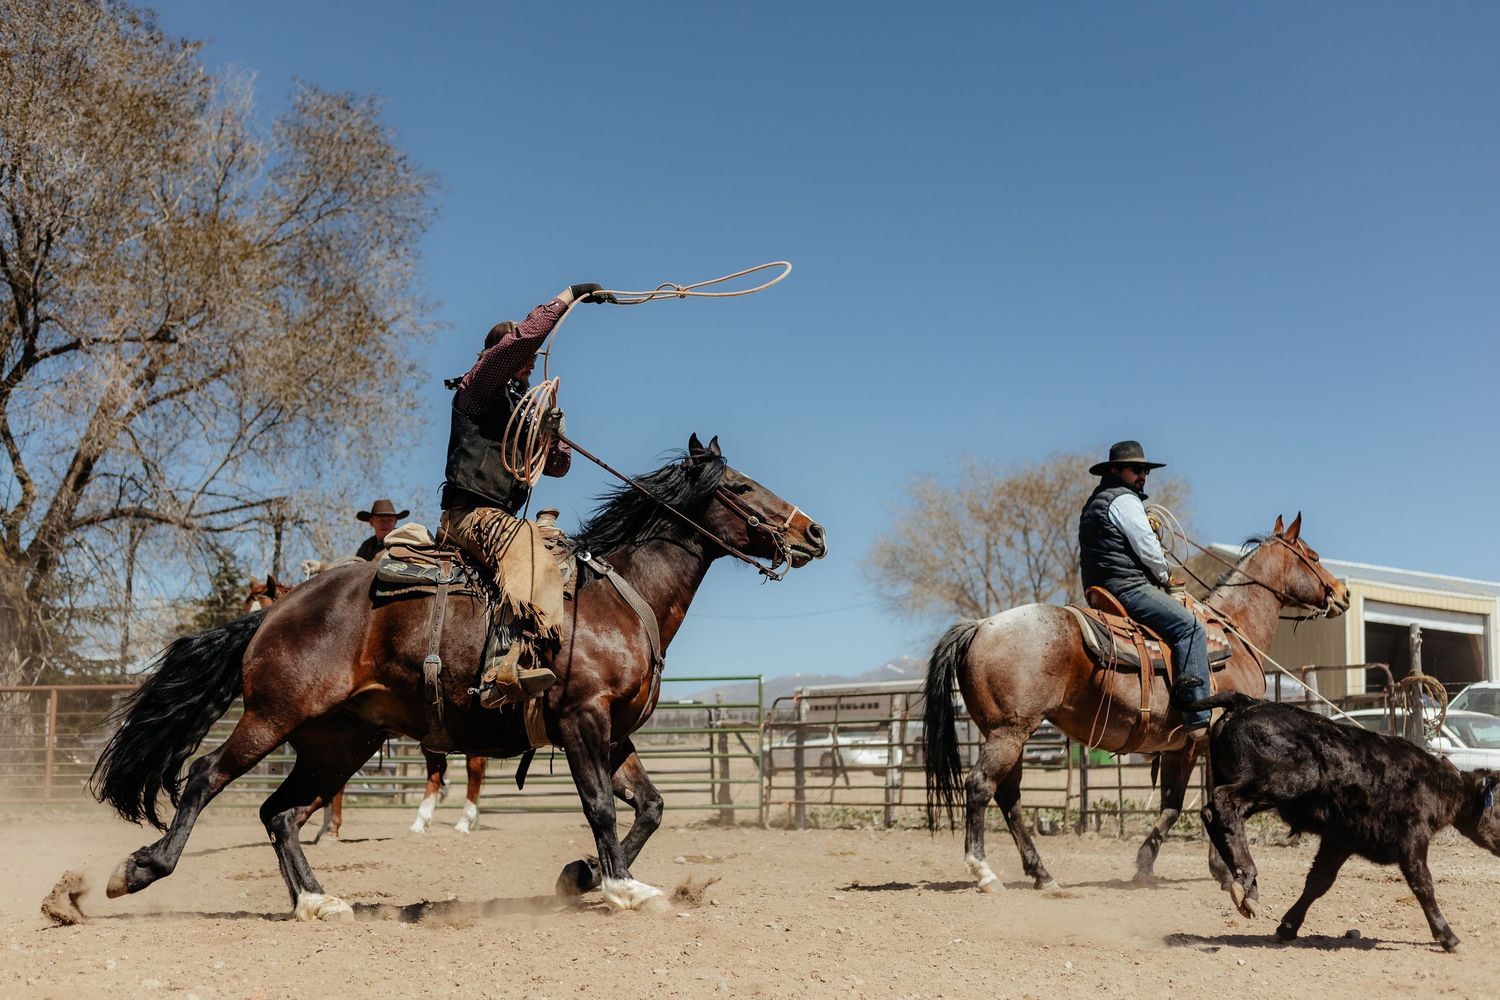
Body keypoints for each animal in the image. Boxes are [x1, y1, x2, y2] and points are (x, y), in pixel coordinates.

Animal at [242, 578, 491, 838]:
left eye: (262, 607)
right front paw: (326, 827)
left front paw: (332, 828)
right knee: (436, 769)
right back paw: (421, 821)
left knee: (473, 768)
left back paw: (463, 822)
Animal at [923, 514, 1349, 892]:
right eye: (1313, 556)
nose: (1342, 594)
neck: (1233, 633)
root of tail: (981, 626)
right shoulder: (1208, 742)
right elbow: (1201, 802)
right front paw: (1222, 871)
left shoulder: (1183, 747)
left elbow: (1177, 805)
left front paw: (1158, 866)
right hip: (1009, 733)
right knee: (981, 786)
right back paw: (984, 872)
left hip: (1007, 734)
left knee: (1008, 797)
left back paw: (1043, 876)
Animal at [1196, 691, 1500, 952]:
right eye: (1499, 806)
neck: (1435, 784)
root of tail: (1246, 703)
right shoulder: (1412, 839)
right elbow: (1423, 884)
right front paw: (1448, 936)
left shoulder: (1339, 840)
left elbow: (1318, 882)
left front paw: (1288, 927)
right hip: (1283, 780)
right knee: (1223, 802)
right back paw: (1245, 873)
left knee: (1212, 813)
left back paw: (1244, 886)